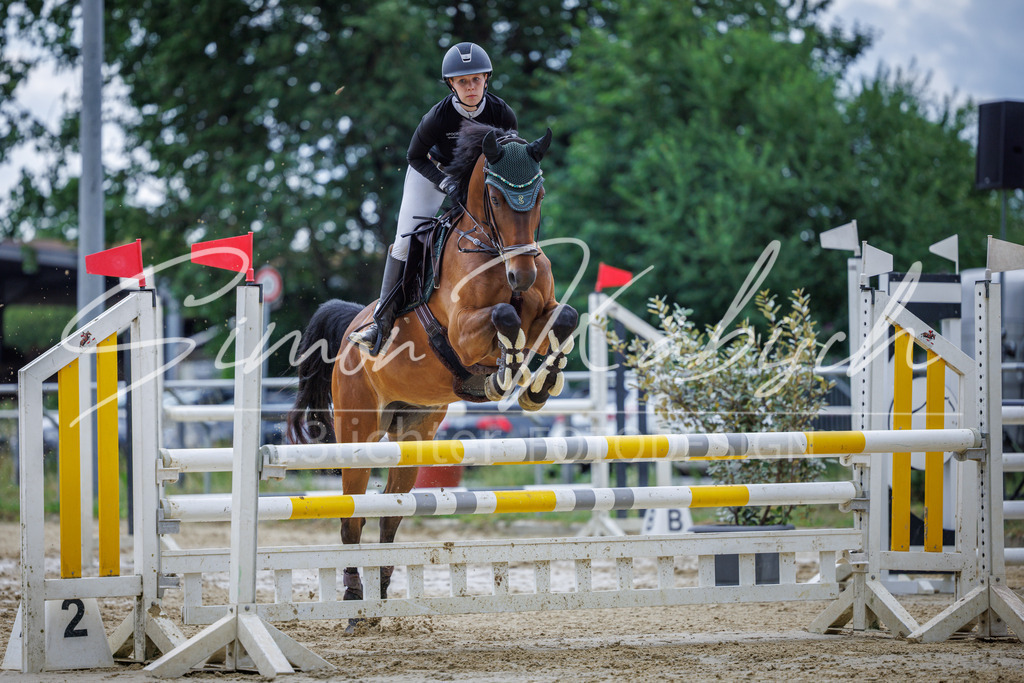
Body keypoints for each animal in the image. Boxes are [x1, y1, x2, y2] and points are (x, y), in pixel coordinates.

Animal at [286, 121, 579, 630]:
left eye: (538, 194)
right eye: (496, 197)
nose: (521, 276)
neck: (495, 253)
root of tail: (349, 328)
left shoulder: (541, 308)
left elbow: (563, 317)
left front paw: (539, 385)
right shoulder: (464, 331)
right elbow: (503, 316)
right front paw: (502, 376)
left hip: (414, 432)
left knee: (389, 513)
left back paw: (381, 597)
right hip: (359, 430)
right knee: (352, 518)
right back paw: (355, 604)